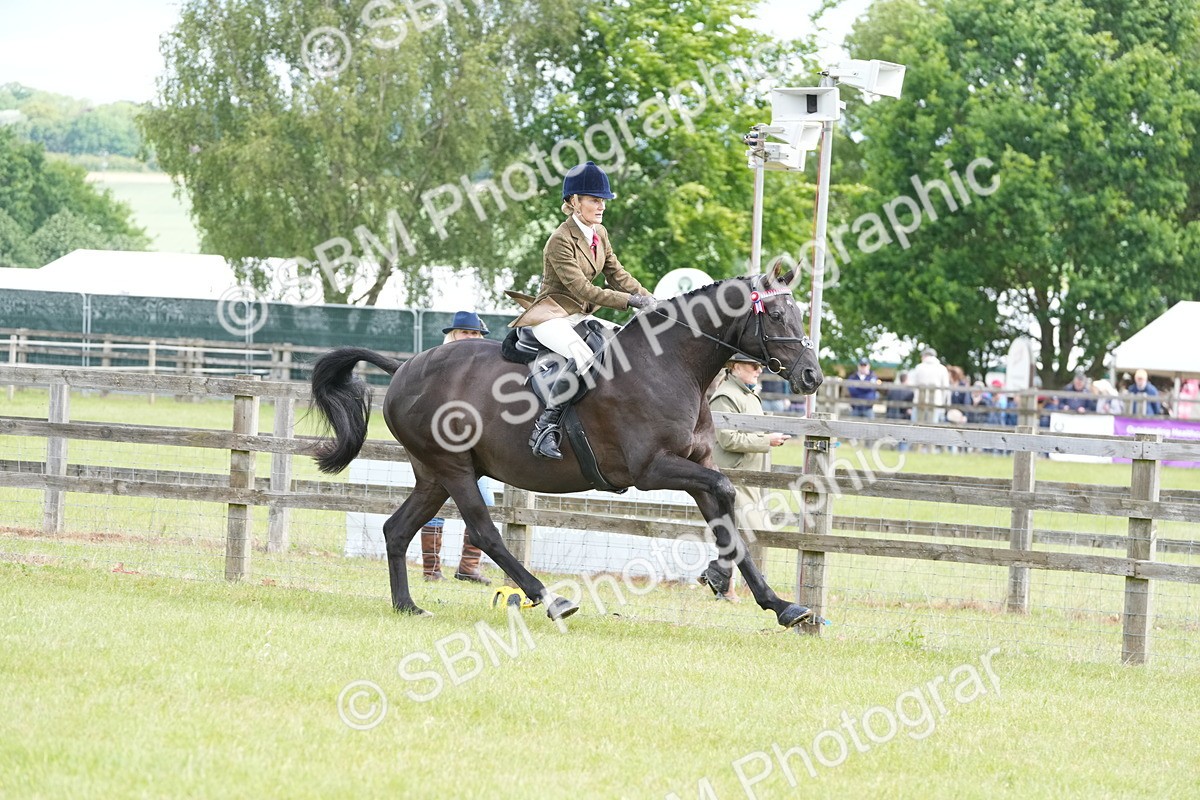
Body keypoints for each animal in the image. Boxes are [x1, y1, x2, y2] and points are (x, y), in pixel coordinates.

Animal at [309, 262, 823, 627]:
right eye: (778, 315)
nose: (811, 377)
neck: (671, 365)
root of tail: (403, 369)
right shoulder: (651, 470)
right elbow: (726, 489)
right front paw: (721, 577)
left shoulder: (692, 464)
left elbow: (725, 510)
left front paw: (779, 605)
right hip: (453, 469)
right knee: (485, 532)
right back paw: (550, 599)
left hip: (434, 475)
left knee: (397, 530)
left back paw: (408, 606)